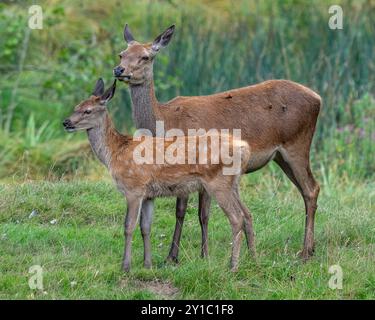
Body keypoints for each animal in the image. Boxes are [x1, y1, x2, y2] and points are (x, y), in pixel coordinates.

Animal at [64, 79, 256, 272]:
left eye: (88, 110)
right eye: (76, 106)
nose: (66, 122)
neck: (115, 152)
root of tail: (244, 148)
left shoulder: (133, 188)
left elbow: (128, 226)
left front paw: (125, 266)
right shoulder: (149, 195)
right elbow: (146, 227)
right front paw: (147, 264)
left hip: (218, 183)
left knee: (236, 218)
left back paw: (233, 266)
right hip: (233, 183)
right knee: (247, 213)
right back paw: (251, 259)